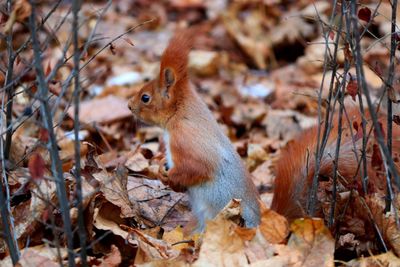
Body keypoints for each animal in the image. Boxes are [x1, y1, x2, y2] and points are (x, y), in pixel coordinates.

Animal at [126, 32, 260, 231]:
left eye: (145, 98)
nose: (129, 105)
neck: (179, 115)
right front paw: (161, 167)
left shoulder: (186, 138)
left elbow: (198, 168)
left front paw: (168, 175)